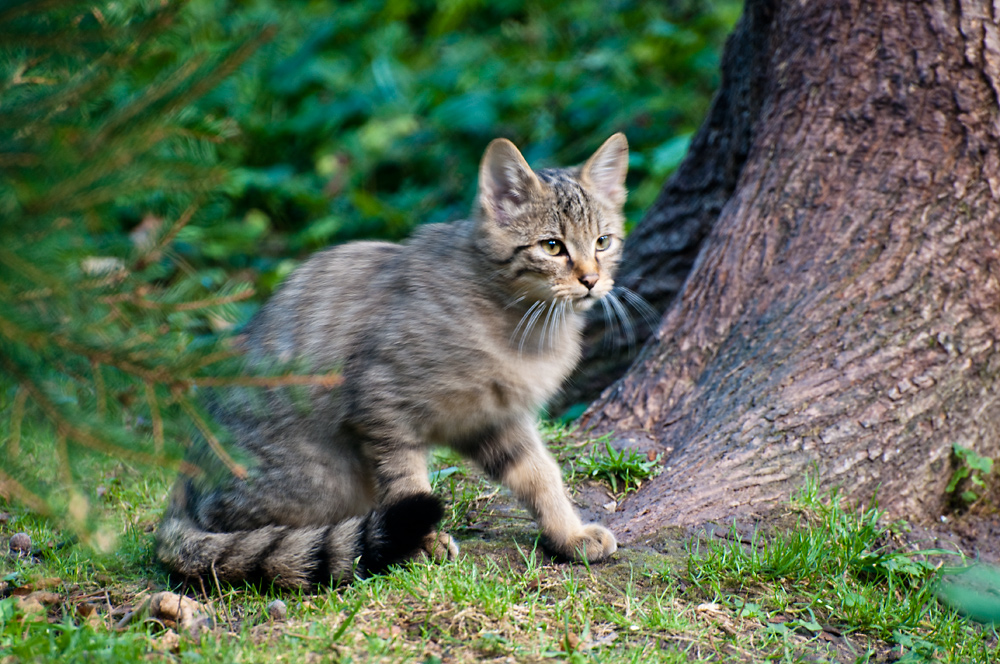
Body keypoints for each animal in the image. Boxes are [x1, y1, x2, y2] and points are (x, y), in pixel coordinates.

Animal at [155, 132, 624, 588]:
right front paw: (423, 544)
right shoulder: (382, 404)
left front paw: (569, 533)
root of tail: (184, 487)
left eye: (603, 242)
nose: (591, 280)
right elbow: (405, 483)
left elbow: (541, 475)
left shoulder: (495, 418)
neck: (525, 326)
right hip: (317, 480)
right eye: (552, 246)